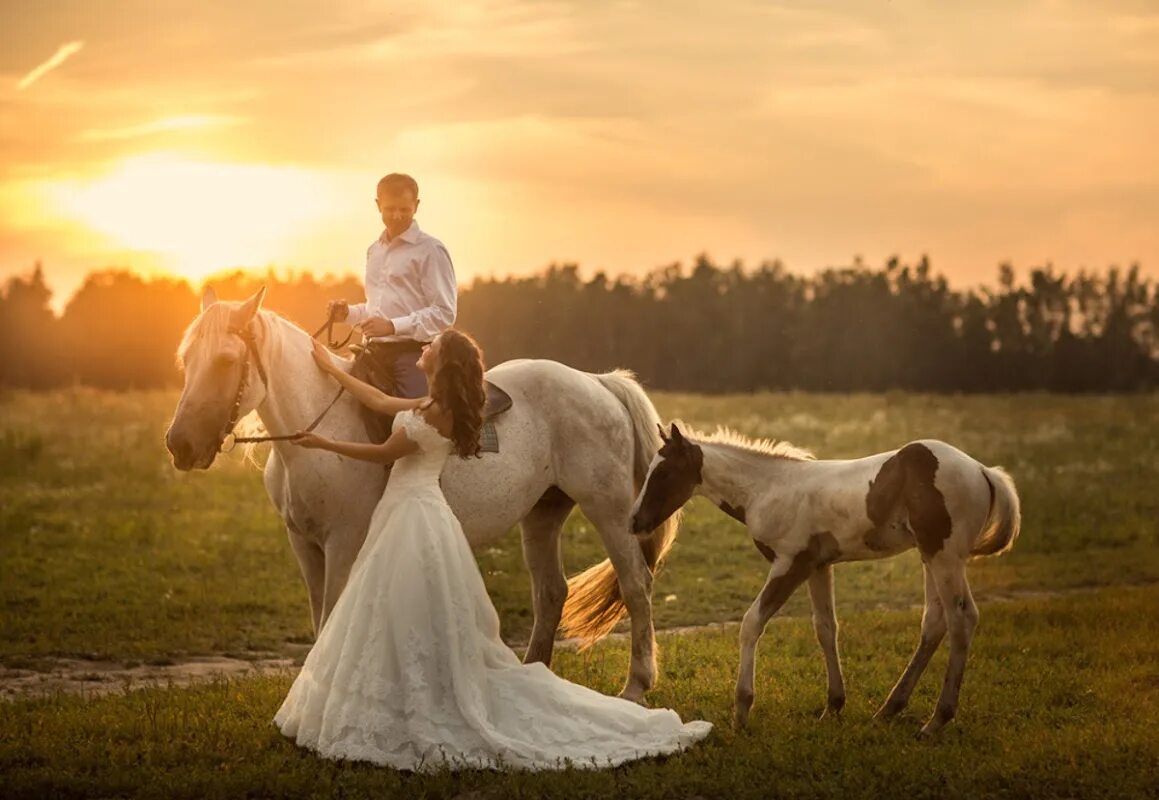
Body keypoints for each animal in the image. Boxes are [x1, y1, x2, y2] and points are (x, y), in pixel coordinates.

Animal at [163, 286, 676, 695]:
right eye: (185, 359)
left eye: (227, 360)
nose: (179, 445)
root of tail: (598, 382)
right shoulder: (304, 543)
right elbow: (316, 618)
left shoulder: (343, 542)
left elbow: (330, 618)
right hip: (544, 512)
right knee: (551, 591)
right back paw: (535, 678)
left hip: (608, 508)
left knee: (635, 584)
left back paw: (636, 686)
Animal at [630, 419, 1019, 732]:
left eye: (662, 474)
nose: (634, 521)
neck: (768, 488)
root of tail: (983, 470)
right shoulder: (819, 566)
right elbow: (825, 628)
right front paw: (833, 706)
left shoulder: (792, 563)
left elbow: (752, 622)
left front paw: (741, 710)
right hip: (930, 556)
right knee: (935, 622)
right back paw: (889, 709)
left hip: (944, 556)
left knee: (961, 618)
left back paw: (937, 720)